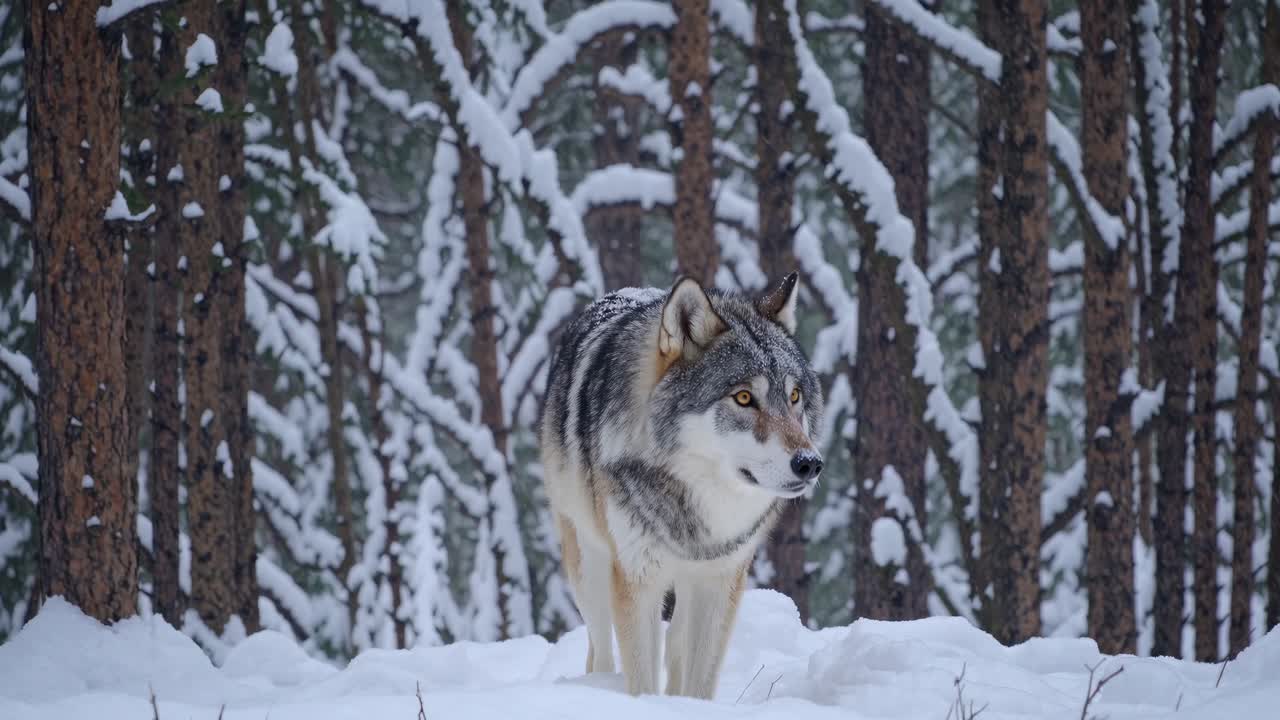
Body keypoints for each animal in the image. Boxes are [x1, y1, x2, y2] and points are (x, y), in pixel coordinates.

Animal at [539, 272, 824, 699]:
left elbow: (700, 680)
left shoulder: (720, 578)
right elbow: (640, 677)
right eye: (744, 397)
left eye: (794, 396)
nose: (810, 464)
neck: (693, 495)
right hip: (589, 564)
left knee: (674, 645)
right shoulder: (637, 577)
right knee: (600, 646)